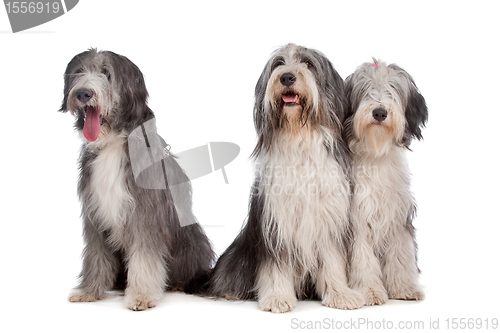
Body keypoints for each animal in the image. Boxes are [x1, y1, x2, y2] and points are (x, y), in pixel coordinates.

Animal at [59, 48, 214, 308]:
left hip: (191, 240)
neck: (112, 142)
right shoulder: (94, 215)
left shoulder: (146, 214)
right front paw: (89, 290)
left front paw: (141, 295)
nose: (83, 93)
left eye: (106, 73)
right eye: (79, 72)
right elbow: (95, 255)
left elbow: (145, 257)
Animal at [207, 43, 364, 312]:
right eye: (278, 64)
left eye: (308, 64)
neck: (297, 136)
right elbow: (275, 265)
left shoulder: (328, 216)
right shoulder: (276, 221)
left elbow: (332, 260)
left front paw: (340, 294)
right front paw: (278, 297)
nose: (287, 77)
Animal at [344, 59, 430, 304]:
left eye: (393, 88)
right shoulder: (357, 219)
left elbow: (401, 253)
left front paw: (404, 288)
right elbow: (362, 258)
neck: (376, 154)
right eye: (365, 89)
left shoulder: (398, 216)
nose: (380, 112)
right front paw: (370, 291)